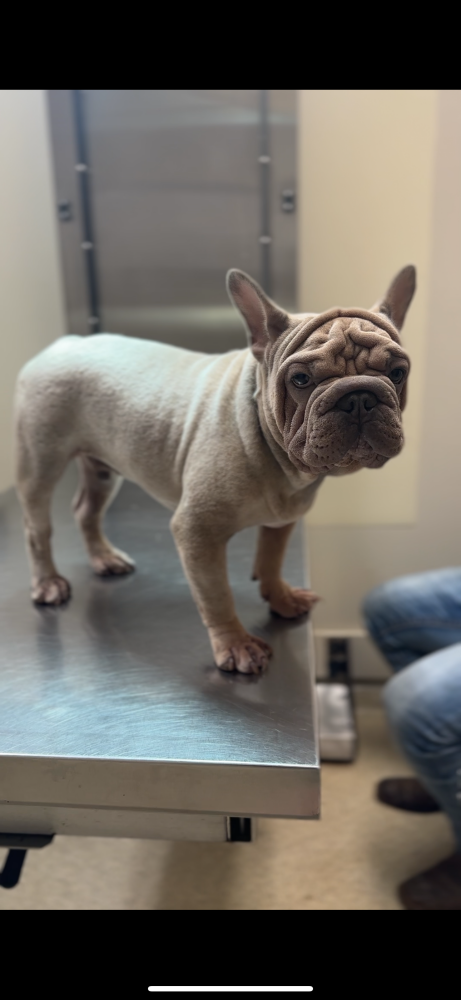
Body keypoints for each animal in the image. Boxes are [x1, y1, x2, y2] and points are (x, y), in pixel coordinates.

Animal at [14, 266, 414, 674]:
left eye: (399, 372)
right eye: (300, 379)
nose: (360, 396)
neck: (271, 446)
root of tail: (63, 344)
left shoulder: (283, 519)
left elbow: (272, 559)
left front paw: (281, 598)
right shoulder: (197, 532)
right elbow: (216, 594)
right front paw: (236, 645)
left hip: (103, 469)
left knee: (86, 510)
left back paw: (103, 557)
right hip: (40, 462)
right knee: (37, 527)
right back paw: (48, 582)